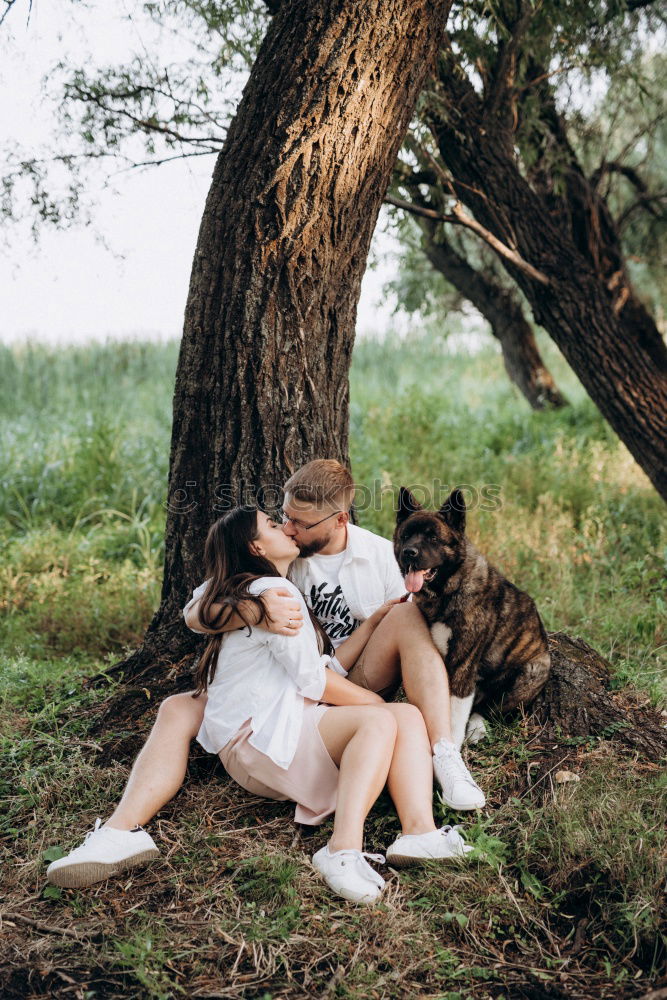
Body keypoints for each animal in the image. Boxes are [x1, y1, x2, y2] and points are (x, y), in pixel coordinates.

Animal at [394, 488, 552, 748]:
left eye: (433, 538)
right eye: (406, 536)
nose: (409, 552)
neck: (448, 591)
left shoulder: (463, 665)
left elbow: (455, 716)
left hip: (530, 674)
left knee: (488, 709)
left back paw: (477, 729)